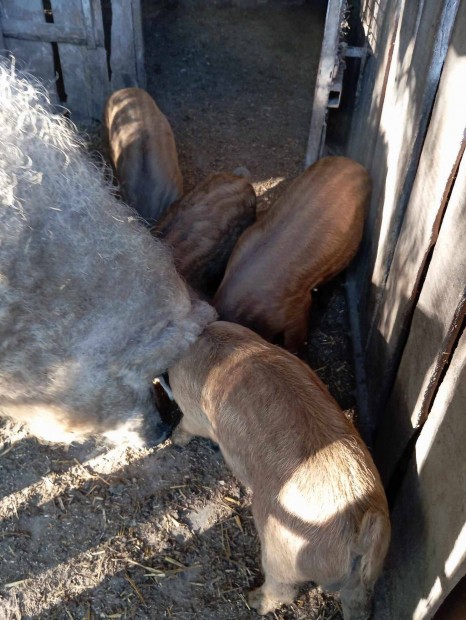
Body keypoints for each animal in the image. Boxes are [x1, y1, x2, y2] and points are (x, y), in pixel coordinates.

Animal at [169, 322, 392, 616]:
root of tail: (360, 534)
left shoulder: (193, 411)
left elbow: (186, 424)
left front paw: (175, 440)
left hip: (279, 549)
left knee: (282, 589)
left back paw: (252, 600)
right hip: (363, 579)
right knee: (359, 602)